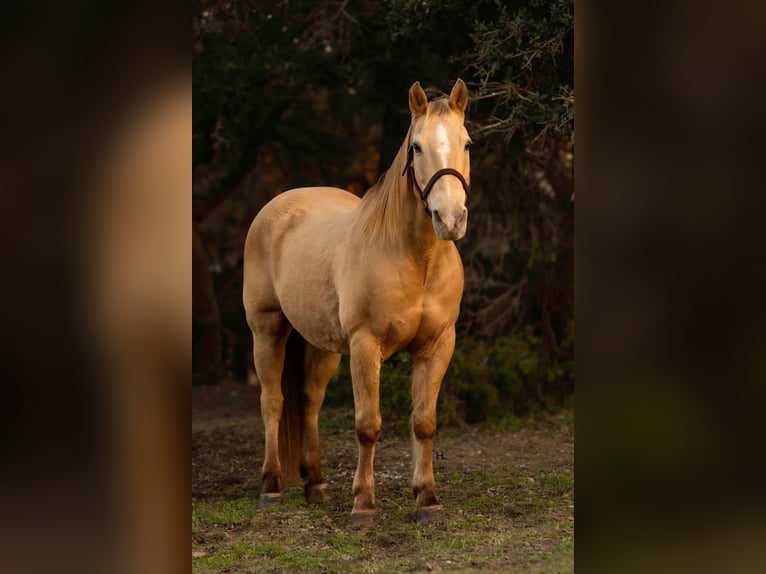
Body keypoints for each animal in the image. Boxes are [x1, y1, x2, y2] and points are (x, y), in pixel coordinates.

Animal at [243, 79, 471, 526]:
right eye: (416, 147)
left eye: (467, 143)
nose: (450, 219)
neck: (415, 259)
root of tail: (276, 207)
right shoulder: (367, 345)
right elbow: (368, 424)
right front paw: (364, 504)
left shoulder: (438, 346)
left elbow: (424, 423)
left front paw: (427, 500)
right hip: (268, 330)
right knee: (273, 402)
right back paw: (271, 487)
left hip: (323, 345)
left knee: (308, 402)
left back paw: (315, 485)